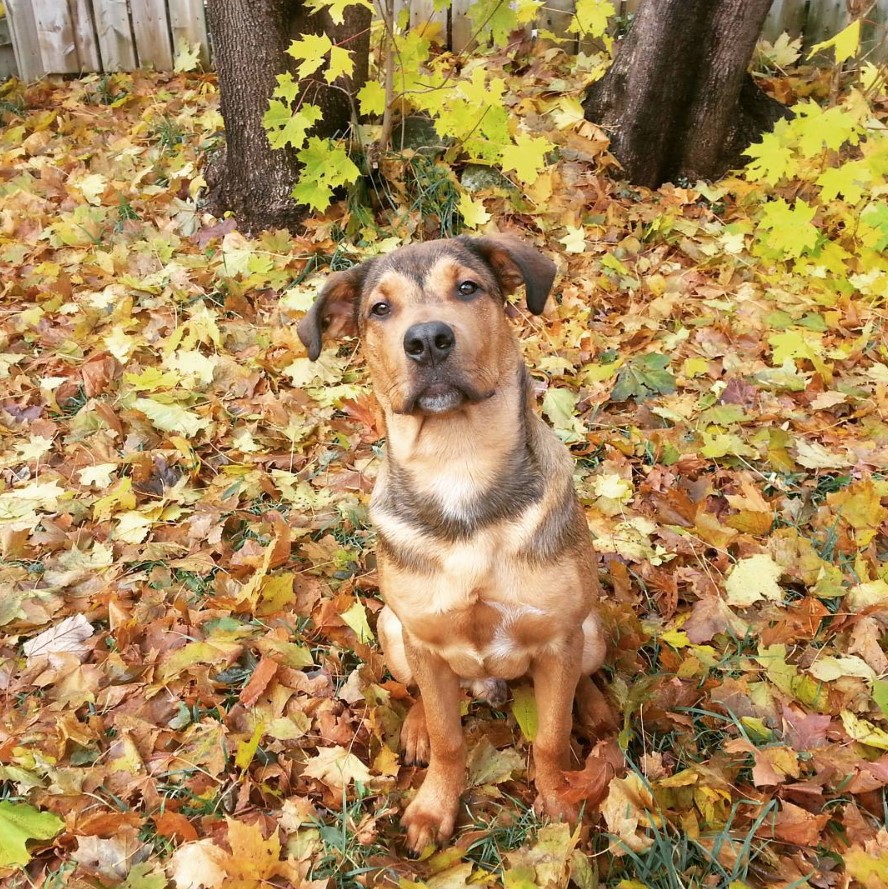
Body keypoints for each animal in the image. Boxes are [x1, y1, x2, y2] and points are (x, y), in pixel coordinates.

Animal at [296, 236, 612, 852]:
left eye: (468, 287)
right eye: (380, 309)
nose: (427, 340)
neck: (458, 466)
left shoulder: (557, 636)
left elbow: (551, 736)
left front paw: (560, 801)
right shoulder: (422, 634)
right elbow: (448, 738)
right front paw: (433, 806)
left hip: (590, 629)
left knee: (577, 679)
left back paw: (593, 706)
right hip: (394, 632)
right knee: (424, 690)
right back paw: (418, 724)